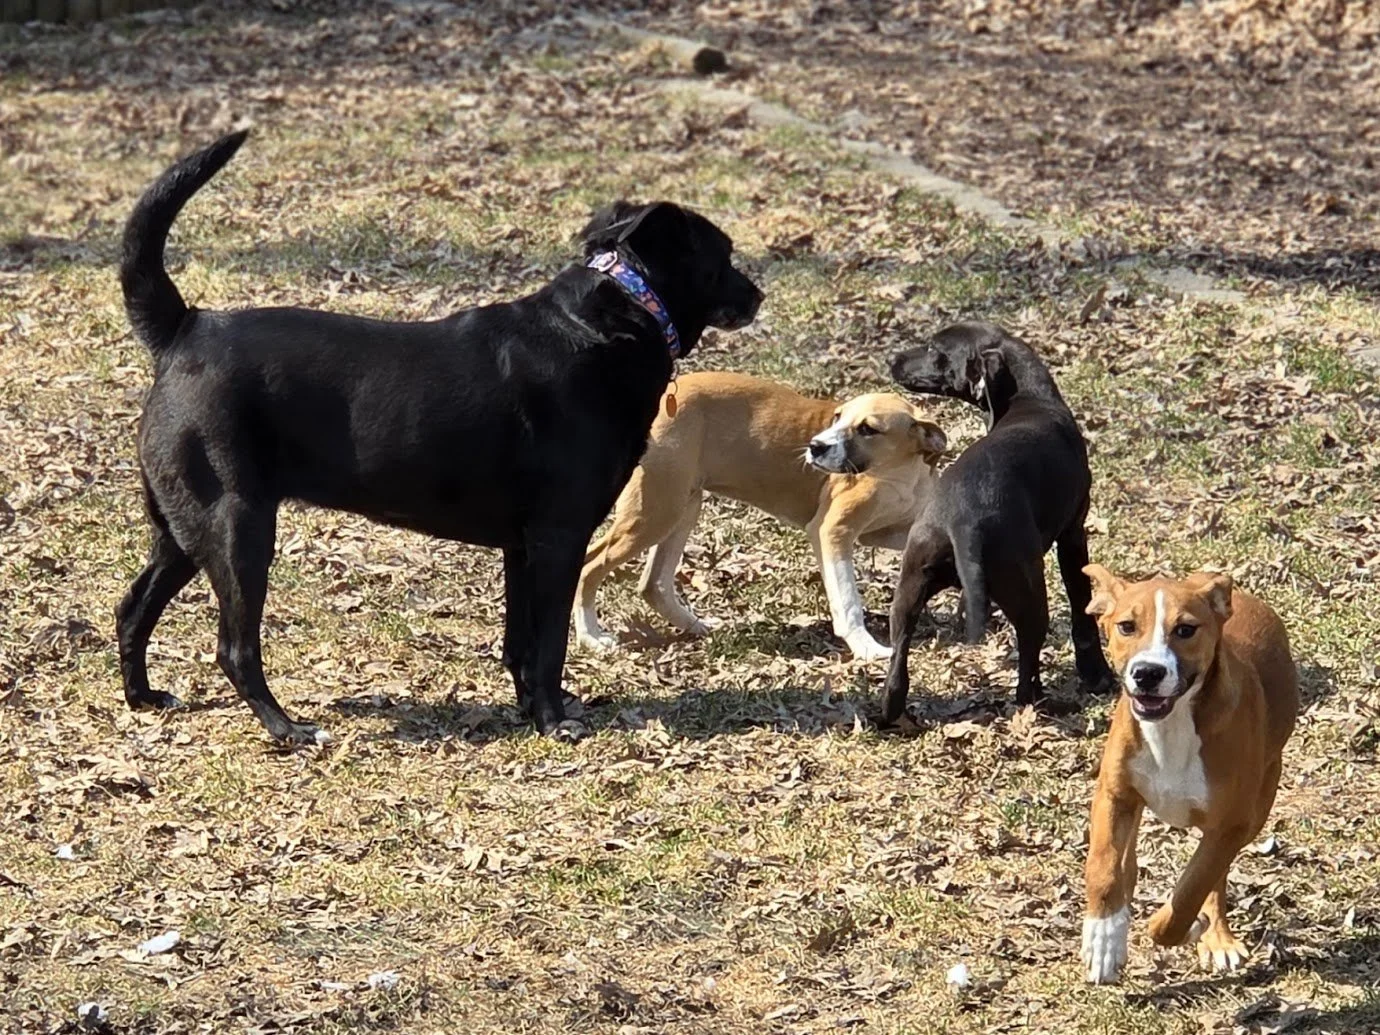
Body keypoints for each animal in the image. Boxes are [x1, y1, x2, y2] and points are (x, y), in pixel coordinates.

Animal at [115, 130, 761, 743]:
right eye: (725, 254)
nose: (758, 294)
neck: (617, 314)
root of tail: (186, 326)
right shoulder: (559, 536)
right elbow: (549, 644)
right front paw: (555, 721)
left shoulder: (521, 547)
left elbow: (520, 645)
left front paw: (531, 711)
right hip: (238, 526)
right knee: (235, 648)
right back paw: (289, 729)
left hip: (182, 528)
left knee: (131, 608)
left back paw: (144, 698)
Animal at [574, 372, 948, 660]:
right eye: (837, 417)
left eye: (868, 429)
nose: (815, 446)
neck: (898, 471)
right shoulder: (832, 530)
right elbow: (847, 600)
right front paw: (866, 648)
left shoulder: (890, 530)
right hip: (654, 512)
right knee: (590, 566)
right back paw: (591, 636)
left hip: (682, 506)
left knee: (653, 583)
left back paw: (695, 626)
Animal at [882, 321, 1114, 718]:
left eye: (933, 349)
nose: (892, 360)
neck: (1033, 398)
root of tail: (962, 519)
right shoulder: (1073, 535)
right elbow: (1082, 612)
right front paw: (1096, 674)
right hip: (1031, 593)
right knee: (1025, 682)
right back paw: (1051, 704)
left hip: (908, 591)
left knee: (898, 665)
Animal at [1079, 566, 1298, 983]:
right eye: (1127, 626)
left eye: (1185, 629)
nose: (1148, 673)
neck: (1174, 723)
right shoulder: (1114, 794)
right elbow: (1104, 867)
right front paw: (1104, 938)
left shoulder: (1229, 825)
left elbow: (1190, 892)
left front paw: (1187, 928)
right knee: (1127, 861)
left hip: (1257, 807)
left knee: (1214, 877)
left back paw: (1217, 937)